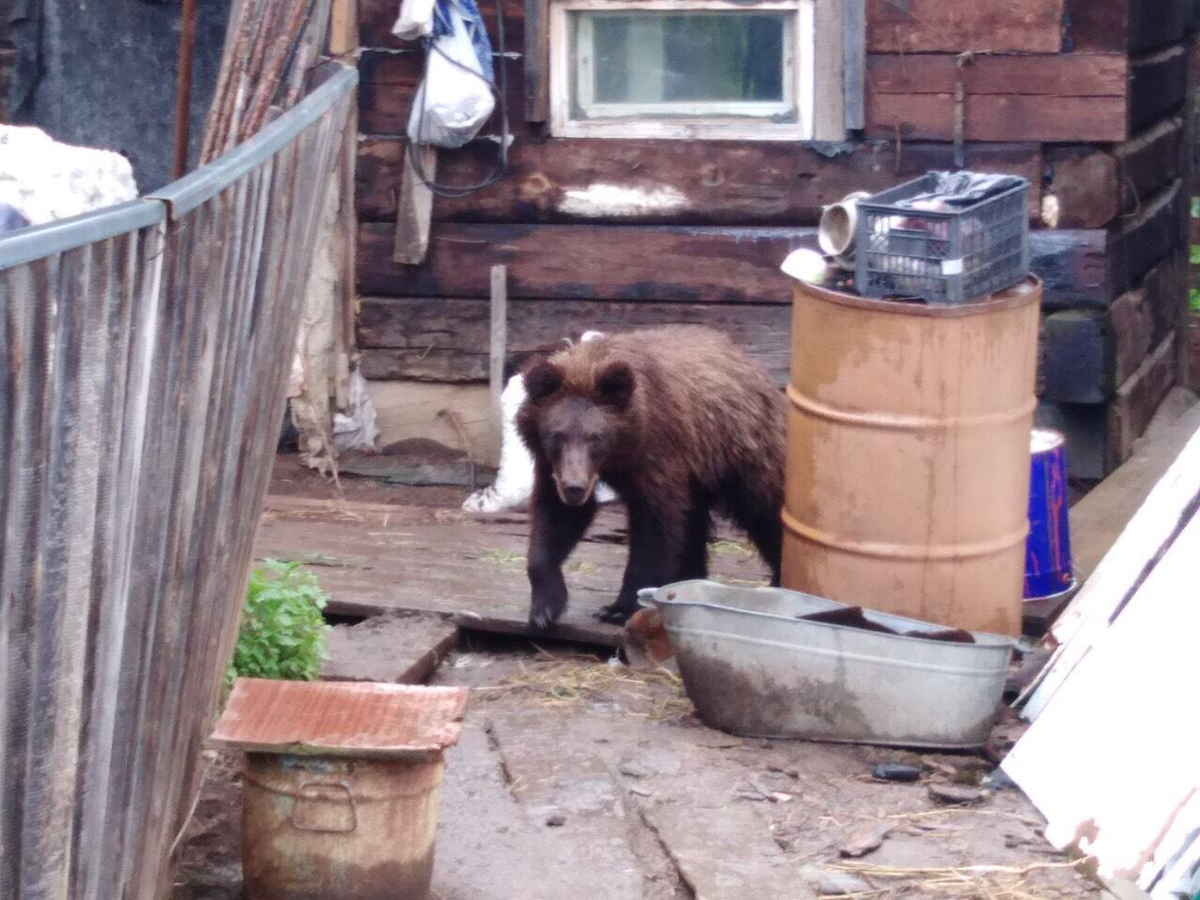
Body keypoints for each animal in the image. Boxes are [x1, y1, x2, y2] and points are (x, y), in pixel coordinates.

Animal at [516, 328, 787, 628]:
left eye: (595, 437)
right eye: (557, 436)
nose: (574, 488)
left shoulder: (658, 456)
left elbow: (654, 530)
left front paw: (619, 608)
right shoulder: (552, 466)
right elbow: (554, 519)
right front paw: (545, 607)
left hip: (741, 451)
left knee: (764, 511)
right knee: (692, 523)